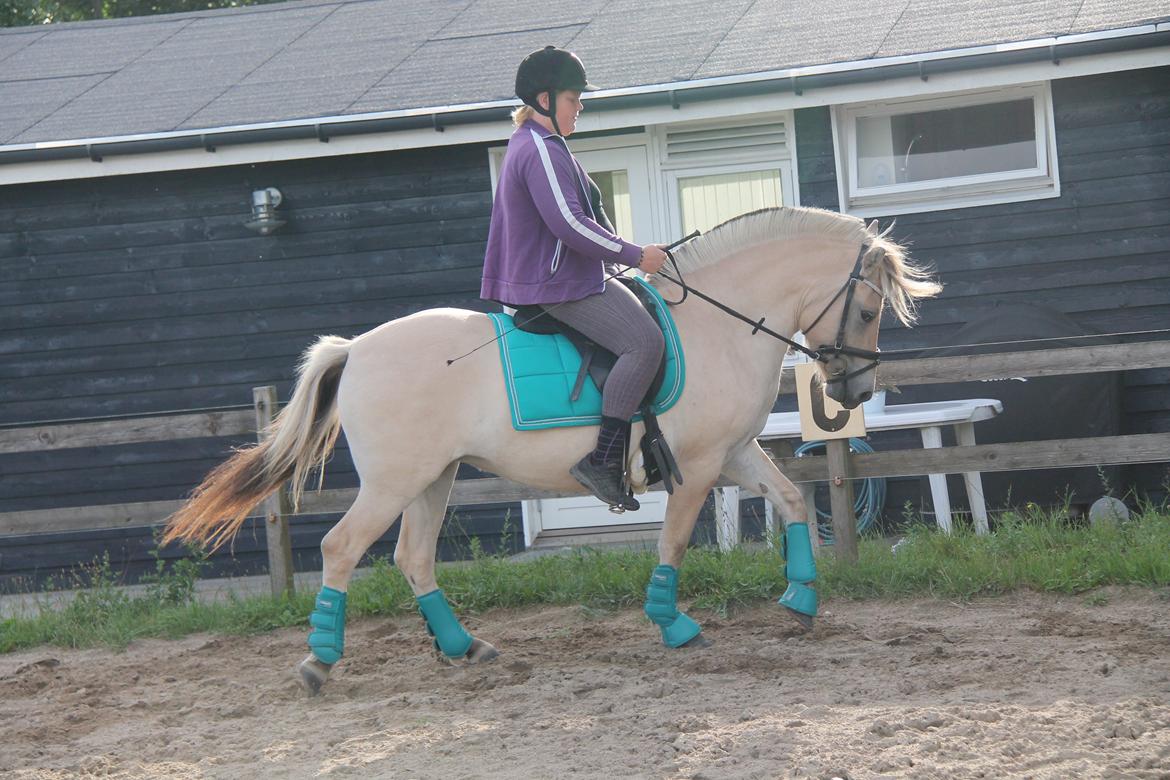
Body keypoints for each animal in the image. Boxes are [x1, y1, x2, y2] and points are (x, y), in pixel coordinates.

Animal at [160, 204, 940, 692]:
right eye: (866, 309)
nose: (854, 391)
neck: (719, 324)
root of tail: (354, 350)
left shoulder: (734, 453)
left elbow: (791, 502)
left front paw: (801, 598)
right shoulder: (696, 470)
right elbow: (674, 544)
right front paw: (674, 625)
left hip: (433, 478)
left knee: (413, 557)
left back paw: (463, 647)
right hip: (393, 483)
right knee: (341, 549)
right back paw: (321, 661)